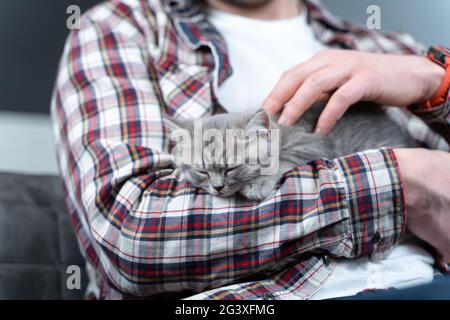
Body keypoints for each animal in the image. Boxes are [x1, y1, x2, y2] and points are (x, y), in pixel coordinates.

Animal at [163, 103, 416, 200]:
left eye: (231, 168)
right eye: (202, 172)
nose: (217, 187)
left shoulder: (313, 142)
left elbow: (282, 158)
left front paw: (259, 184)